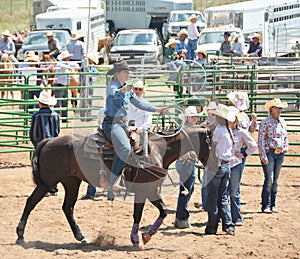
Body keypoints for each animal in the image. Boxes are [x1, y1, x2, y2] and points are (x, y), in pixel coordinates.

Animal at [15, 128, 210, 250]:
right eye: (211, 143)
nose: (214, 165)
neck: (156, 150)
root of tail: (49, 140)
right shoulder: (143, 191)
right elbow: (138, 214)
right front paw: (136, 240)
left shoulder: (152, 190)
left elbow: (163, 211)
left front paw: (146, 236)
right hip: (48, 182)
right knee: (31, 202)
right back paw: (20, 235)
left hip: (72, 182)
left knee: (67, 207)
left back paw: (81, 237)